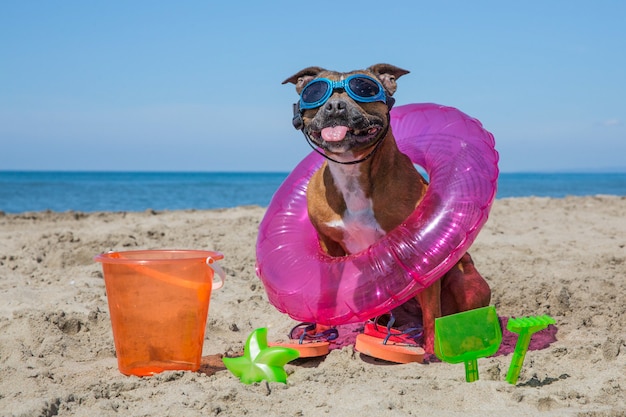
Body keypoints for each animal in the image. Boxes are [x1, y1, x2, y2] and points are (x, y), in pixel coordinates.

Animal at [282, 63, 492, 352]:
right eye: (315, 92)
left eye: (364, 89)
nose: (335, 106)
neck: (352, 172)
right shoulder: (328, 246)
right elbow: (325, 297)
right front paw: (321, 336)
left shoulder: (419, 251)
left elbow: (431, 312)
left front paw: (431, 352)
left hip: (464, 280)